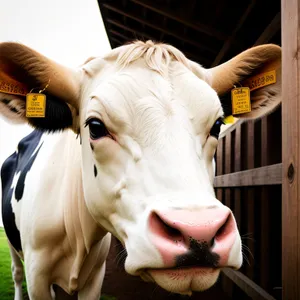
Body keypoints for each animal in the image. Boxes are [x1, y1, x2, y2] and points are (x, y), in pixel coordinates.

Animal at [0, 40, 282, 300]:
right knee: (16, 272)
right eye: (95, 126)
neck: (75, 232)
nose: (199, 233)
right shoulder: (37, 276)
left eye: (217, 125)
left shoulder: (95, 275)